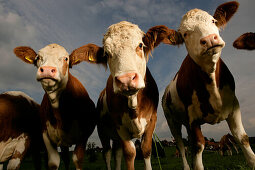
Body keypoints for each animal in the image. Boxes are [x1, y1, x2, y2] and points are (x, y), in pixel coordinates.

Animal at [69, 21, 177, 170]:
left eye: (140, 45)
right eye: (107, 53)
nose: (126, 79)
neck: (133, 104)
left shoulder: (152, 121)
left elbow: (146, 149)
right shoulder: (119, 126)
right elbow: (130, 153)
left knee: (117, 153)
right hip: (103, 132)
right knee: (108, 154)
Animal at [161, 0, 255, 169]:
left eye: (213, 21)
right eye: (185, 34)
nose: (210, 39)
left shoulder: (234, 107)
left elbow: (243, 138)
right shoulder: (192, 118)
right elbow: (199, 147)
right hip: (172, 122)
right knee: (181, 146)